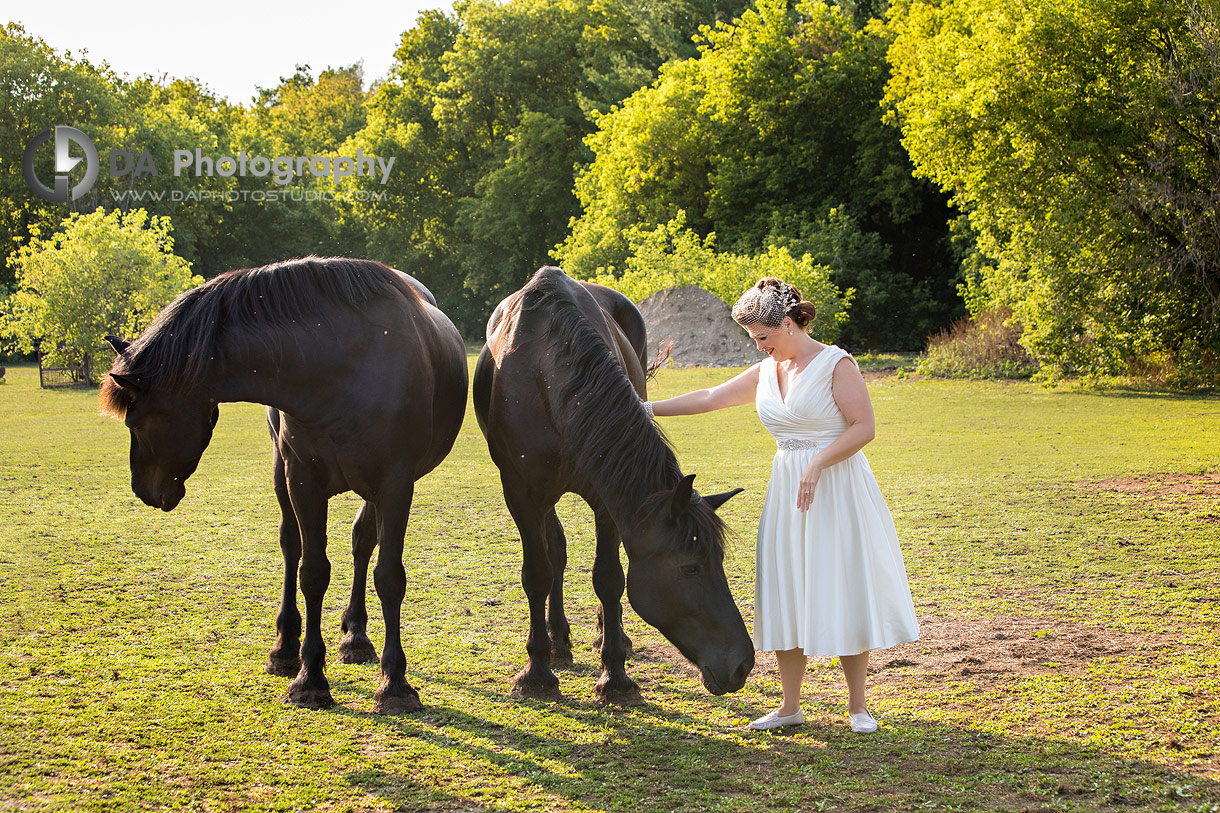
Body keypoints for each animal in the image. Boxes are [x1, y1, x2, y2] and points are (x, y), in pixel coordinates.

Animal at [100, 256, 466, 712]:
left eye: (134, 420)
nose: (143, 490)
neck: (341, 368)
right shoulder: (303, 480)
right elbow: (312, 572)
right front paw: (310, 678)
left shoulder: (396, 484)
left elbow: (388, 576)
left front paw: (394, 683)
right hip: (284, 475)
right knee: (292, 544)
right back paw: (287, 648)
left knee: (363, 543)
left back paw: (356, 635)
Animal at [473, 267, 751, 703]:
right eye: (690, 567)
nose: (743, 664)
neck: (544, 374)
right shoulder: (522, 492)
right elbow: (537, 572)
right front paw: (536, 672)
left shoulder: (608, 500)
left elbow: (609, 578)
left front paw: (615, 675)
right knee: (555, 553)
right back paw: (558, 642)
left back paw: (609, 635)